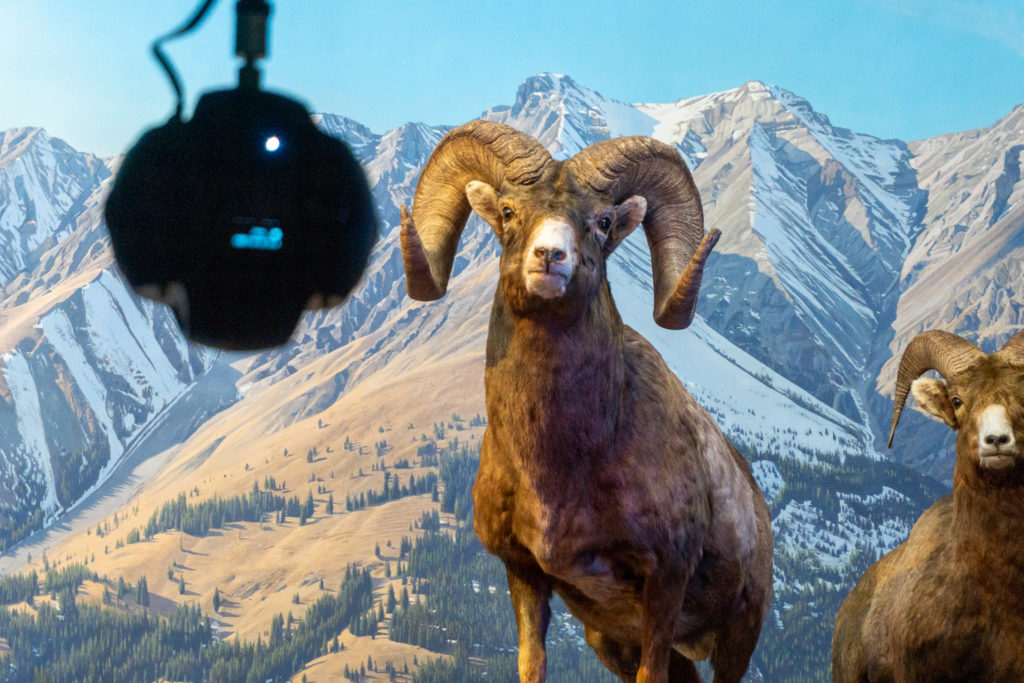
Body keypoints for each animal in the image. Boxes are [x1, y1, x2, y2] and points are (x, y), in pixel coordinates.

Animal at [399, 120, 774, 683]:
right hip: (613, 641)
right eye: (507, 210)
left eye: (601, 221)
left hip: (738, 632)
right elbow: (532, 664)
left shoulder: (665, 582)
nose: (550, 257)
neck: (560, 466)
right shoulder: (524, 574)